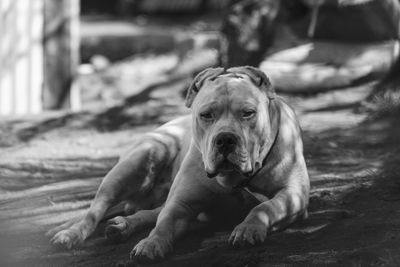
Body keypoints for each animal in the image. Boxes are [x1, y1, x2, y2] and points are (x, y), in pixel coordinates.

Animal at [47, 66, 310, 264]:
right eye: (206, 114)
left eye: (248, 113)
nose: (225, 139)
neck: (234, 179)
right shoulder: (181, 203)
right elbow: (164, 223)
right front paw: (151, 243)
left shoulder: (293, 195)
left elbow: (264, 207)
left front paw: (249, 228)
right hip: (139, 160)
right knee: (95, 212)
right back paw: (71, 233)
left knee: (147, 212)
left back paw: (122, 226)